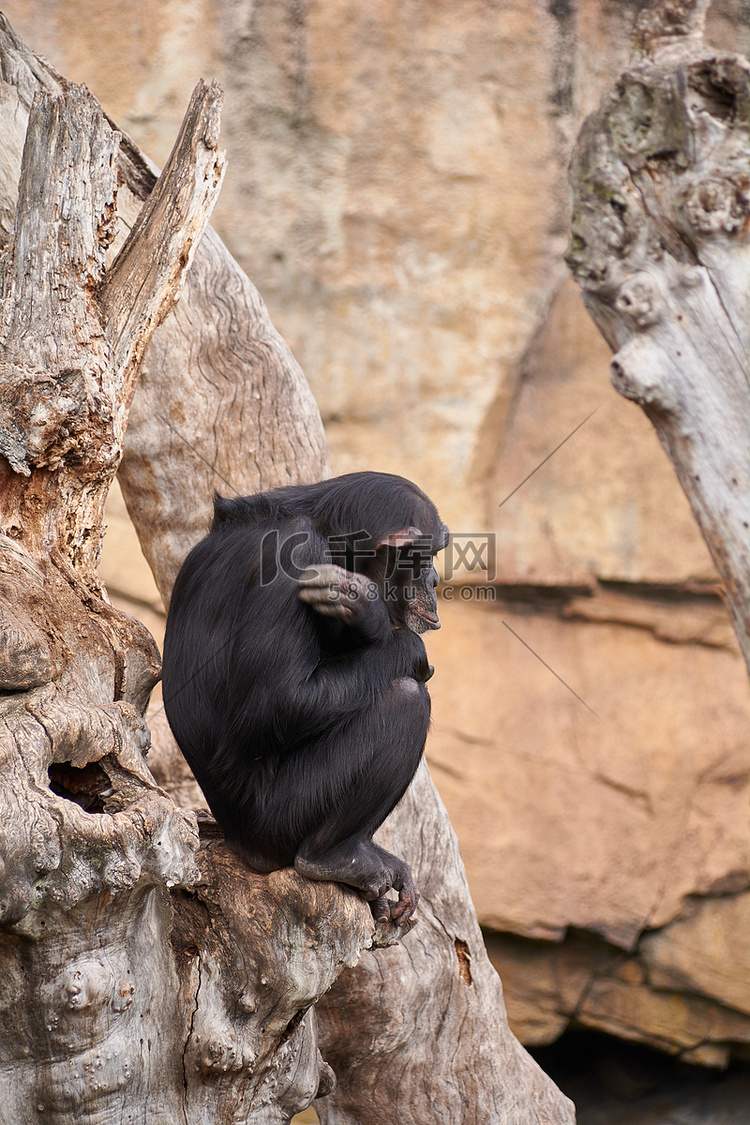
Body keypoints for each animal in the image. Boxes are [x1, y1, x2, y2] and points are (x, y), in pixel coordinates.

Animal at [161, 470, 449, 918]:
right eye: (428, 556)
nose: (435, 579)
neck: (331, 537)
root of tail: (241, 847)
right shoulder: (293, 560)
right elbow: (279, 702)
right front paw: (390, 632)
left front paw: (363, 613)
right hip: (279, 823)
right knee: (404, 698)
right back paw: (334, 857)